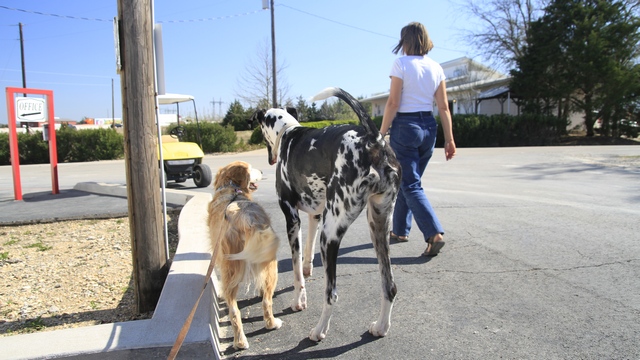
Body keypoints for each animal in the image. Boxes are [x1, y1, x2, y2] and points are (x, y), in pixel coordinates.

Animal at [208, 160, 282, 348]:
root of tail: (247, 218)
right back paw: (268, 326)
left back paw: (241, 341)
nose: (262, 170)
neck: (231, 187)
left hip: (232, 267)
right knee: (265, 301)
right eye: (250, 168)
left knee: (235, 309)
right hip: (269, 264)